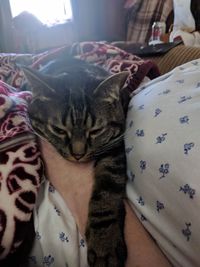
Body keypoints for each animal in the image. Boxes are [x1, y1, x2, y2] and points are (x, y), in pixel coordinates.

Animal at [22, 59, 130, 267]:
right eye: (59, 130)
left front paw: (104, 245)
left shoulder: (114, 146)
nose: (78, 154)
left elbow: (106, 194)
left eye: (95, 131)